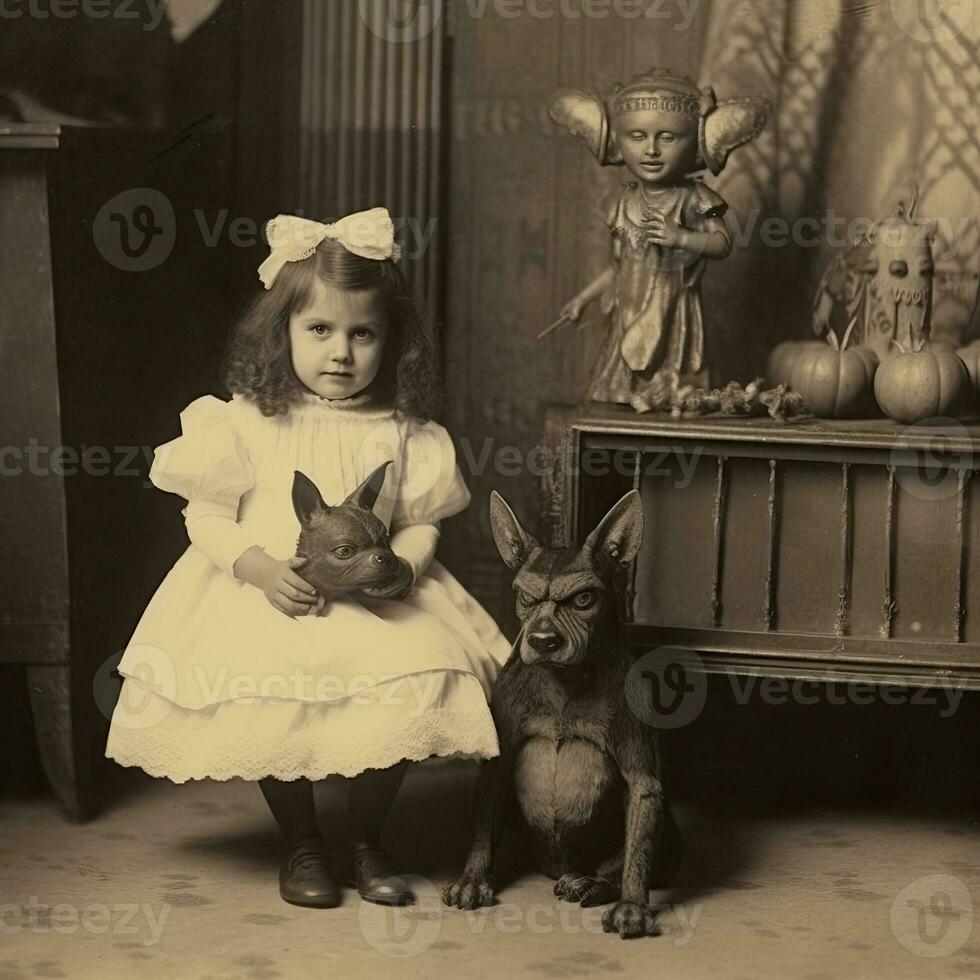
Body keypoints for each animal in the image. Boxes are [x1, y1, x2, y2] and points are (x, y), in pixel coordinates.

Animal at [442, 494, 676, 936]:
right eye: (525, 597)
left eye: (584, 599)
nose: (543, 640)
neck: (566, 680)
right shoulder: (496, 769)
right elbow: (482, 827)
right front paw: (472, 879)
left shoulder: (643, 777)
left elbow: (639, 825)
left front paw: (632, 905)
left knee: (618, 863)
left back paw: (589, 884)